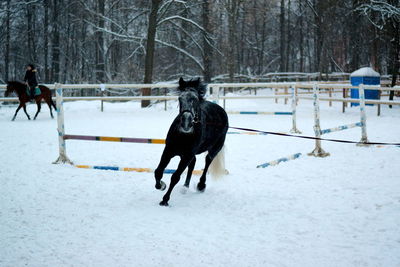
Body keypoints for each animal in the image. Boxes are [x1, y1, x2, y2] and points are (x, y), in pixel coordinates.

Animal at [154, 78, 228, 207]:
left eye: (195, 99)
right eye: (180, 98)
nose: (186, 123)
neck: (184, 135)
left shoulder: (187, 155)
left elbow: (175, 176)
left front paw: (165, 199)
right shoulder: (169, 150)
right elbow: (158, 172)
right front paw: (161, 185)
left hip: (215, 148)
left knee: (207, 162)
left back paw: (201, 185)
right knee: (193, 164)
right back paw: (185, 187)